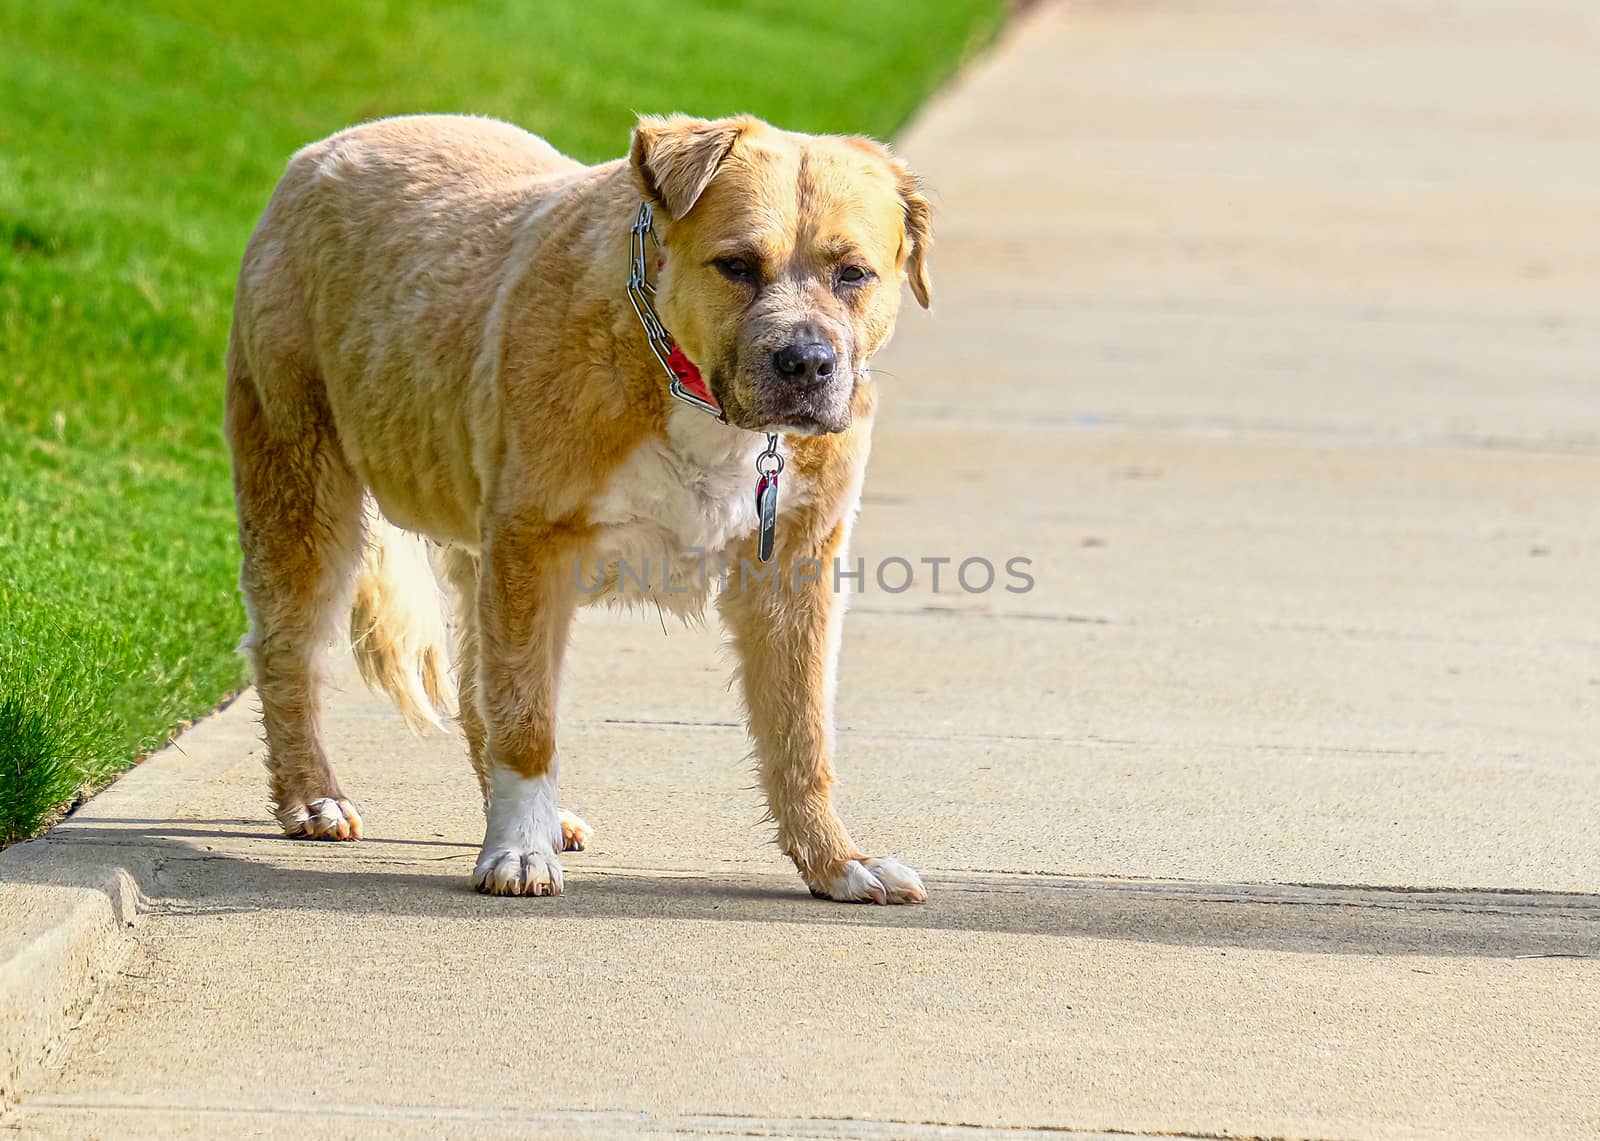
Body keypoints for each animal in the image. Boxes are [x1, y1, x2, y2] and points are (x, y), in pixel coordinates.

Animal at [220, 113, 934, 896]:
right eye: (738, 265)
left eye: (852, 274)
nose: (805, 363)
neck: (684, 383)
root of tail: (325, 146)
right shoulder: (532, 545)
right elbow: (529, 720)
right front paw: (519, 851)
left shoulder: (791, 571)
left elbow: (801, 735)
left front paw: (837, 862)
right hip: (303, 490)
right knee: (289, 650)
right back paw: (312, 796)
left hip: (471, 540)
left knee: (474, 687)